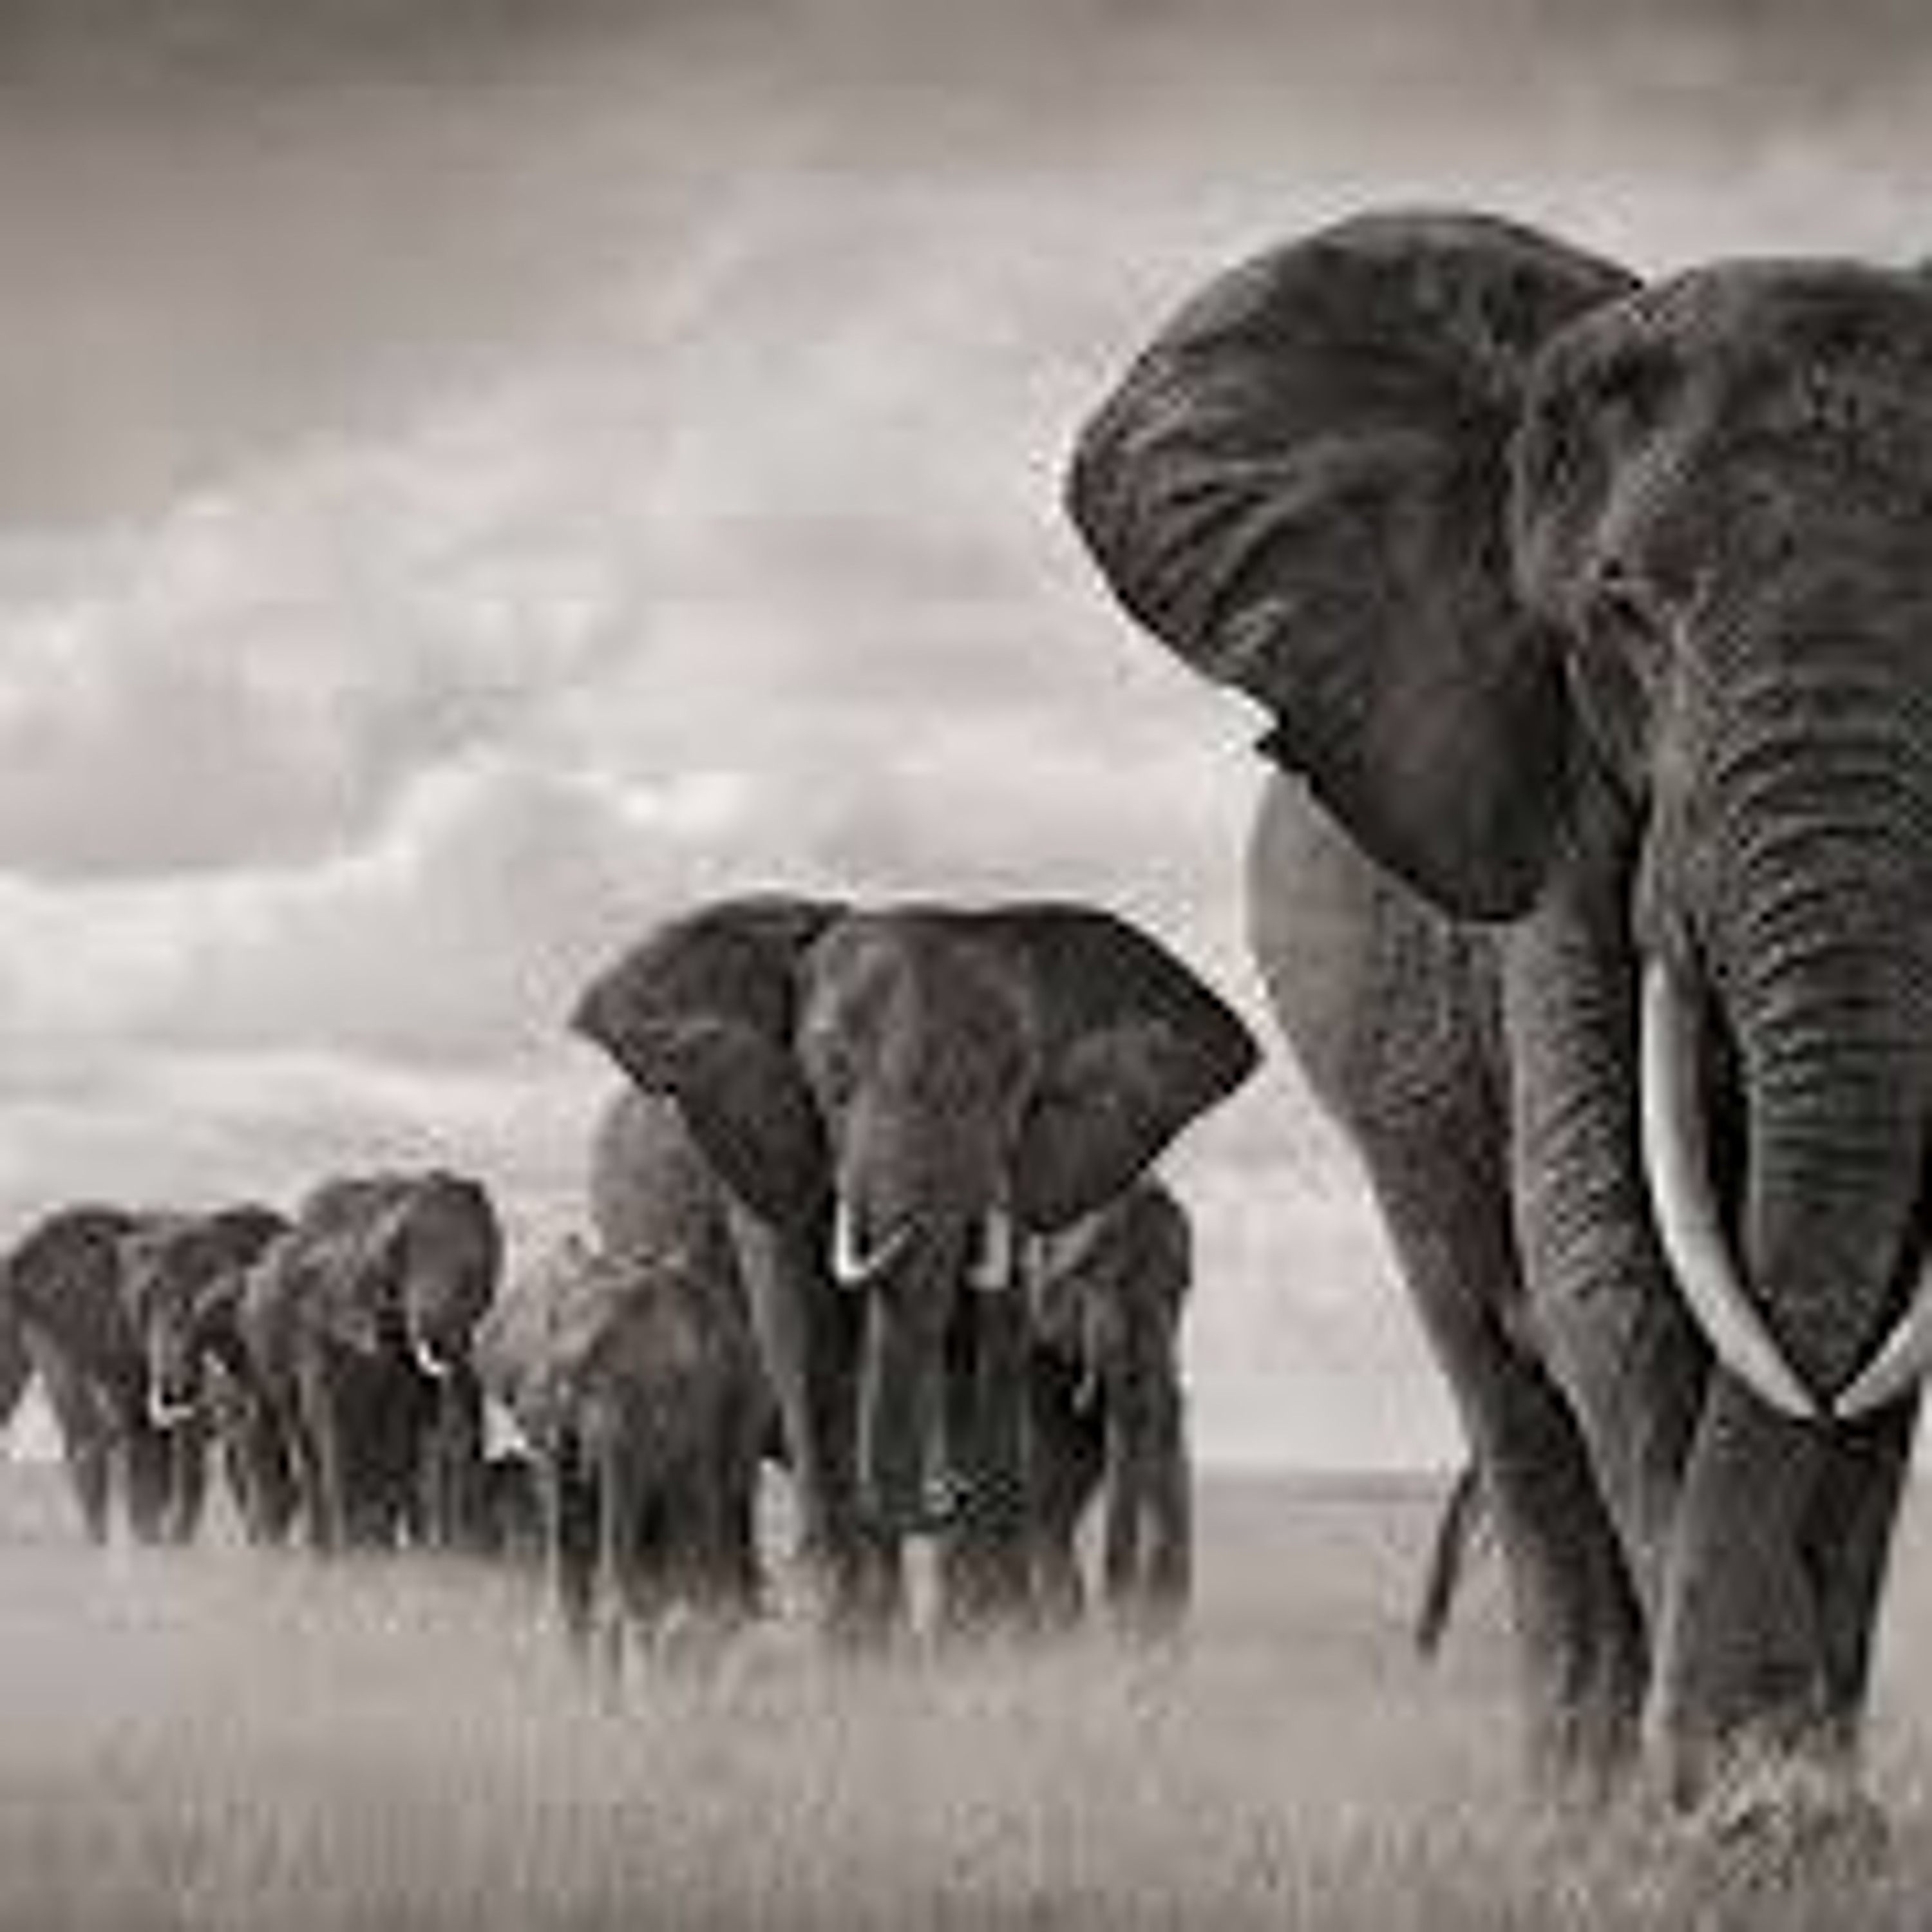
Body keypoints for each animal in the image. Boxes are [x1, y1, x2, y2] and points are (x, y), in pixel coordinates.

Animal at [242, 1171, 501, 1556]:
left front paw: (378, 1548)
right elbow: (332, 1417)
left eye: (475, 1274)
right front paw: (355, 1551)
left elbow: (401, 1426)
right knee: (302, 1433)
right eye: (401, 1260)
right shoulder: (321, 1322)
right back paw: (326, 1547)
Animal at [1065, 205, 1932, 1822]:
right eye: (1621, 613)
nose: (1765, 1783)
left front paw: (1800, 1808)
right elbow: (1610, 1262)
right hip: (1393, 1116)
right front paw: (1738, 1817)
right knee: (1495, 1364)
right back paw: (1573, 1803)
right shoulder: (1549, 817)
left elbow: (1878, 1323)